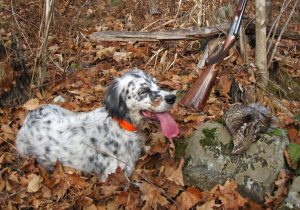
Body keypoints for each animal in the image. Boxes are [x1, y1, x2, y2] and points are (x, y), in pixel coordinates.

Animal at [15, 69, 178, 180]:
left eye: (157, 85)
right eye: (144, 90)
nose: (172, 98)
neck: (120, 125)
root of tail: (30, 114)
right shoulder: (114, 173)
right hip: (23, 148)